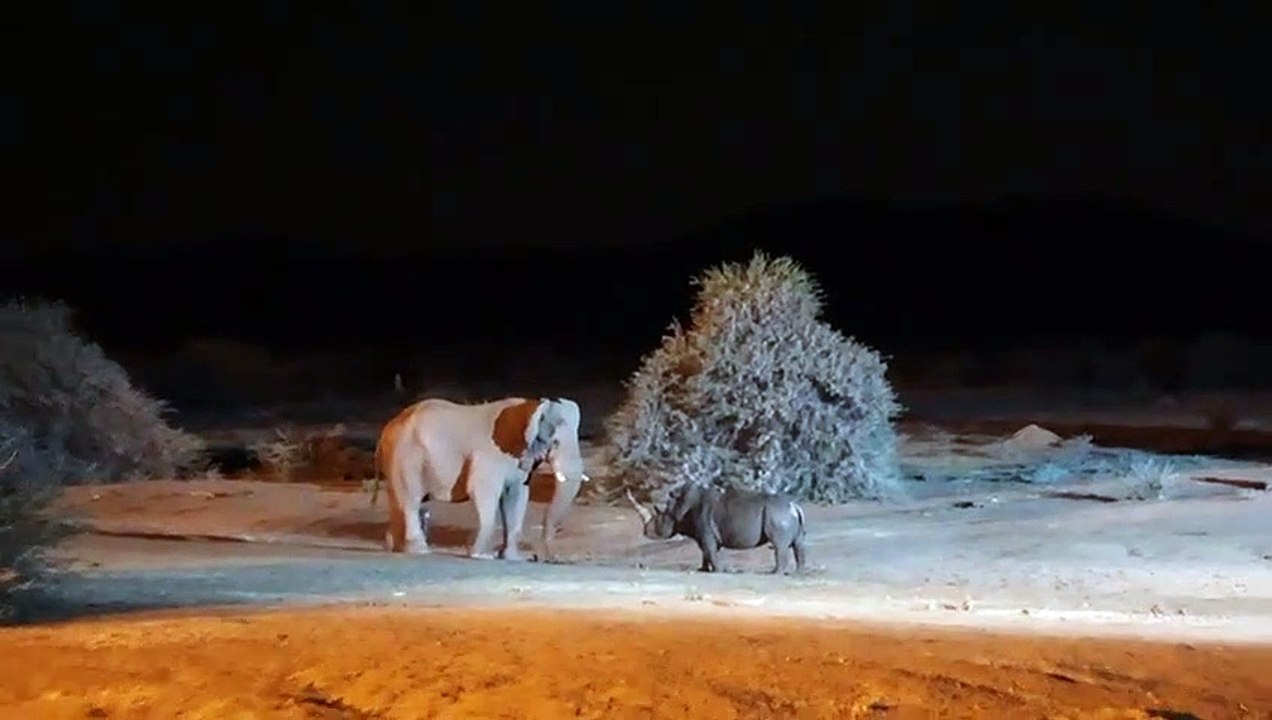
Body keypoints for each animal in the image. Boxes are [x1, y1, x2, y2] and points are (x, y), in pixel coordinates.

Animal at [371, 396, 589, 561]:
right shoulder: (491, 454)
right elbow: (483, 492)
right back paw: (420, 551)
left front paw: (511, 558)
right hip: (406, 457)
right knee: (411, 501)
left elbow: (517, 497)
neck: (532, 407)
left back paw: (396, 548)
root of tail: (388, 428)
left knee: (401, 501)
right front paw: (482, 556)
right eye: (555, 442)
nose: (544, 558)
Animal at [625, 484, 808, 574]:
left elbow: (710, 551)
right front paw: (702, 570)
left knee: (779, 545)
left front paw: (718, 571)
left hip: (777, 514)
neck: (680, 506)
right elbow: (705, 552)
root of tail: (795, 506)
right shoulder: (704, 533)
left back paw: (774, 573)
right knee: (798, 544)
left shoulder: (706, 531)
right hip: (783, 514)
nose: (646, 532)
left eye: (659, 516)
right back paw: (798, 573)